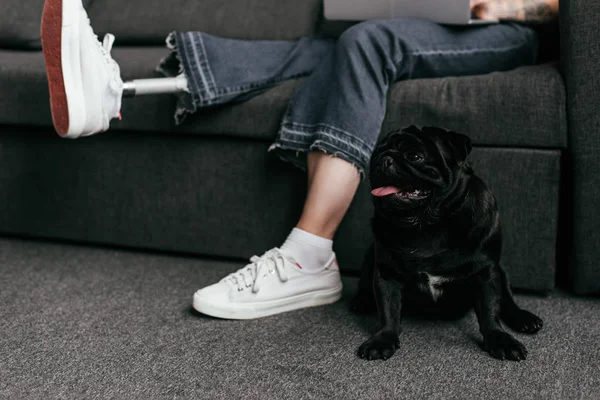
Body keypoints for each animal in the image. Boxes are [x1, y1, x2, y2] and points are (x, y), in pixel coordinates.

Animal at [352, 126, 544, 362]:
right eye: (377, 153)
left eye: (414, 156)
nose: (384, 159)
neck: (427, 224)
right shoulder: (387, 272)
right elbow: (388, 309)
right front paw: (383, 339)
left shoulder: (486, 271)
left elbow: (490, 309)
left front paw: (499, 339)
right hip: (370, 257)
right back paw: (362, 300)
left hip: (501, 270)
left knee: (506, 298)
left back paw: (523, 318)